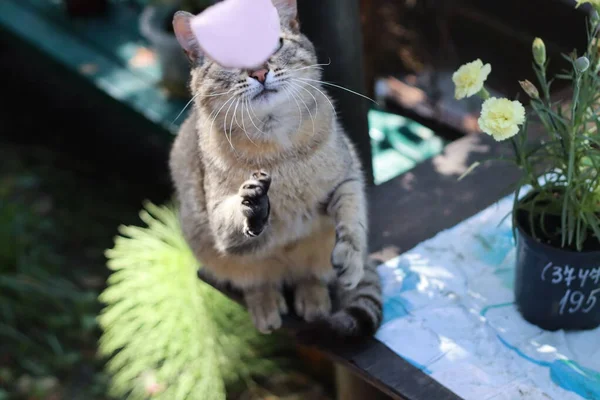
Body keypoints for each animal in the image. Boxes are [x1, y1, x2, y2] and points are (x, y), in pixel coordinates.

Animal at [169, 0, 382, 338]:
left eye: (274, 43)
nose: (259, 71)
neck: (277, 150)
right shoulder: (219, 222)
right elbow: (237, 214)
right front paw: (254, 203)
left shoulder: (348, 178)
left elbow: (352, 219)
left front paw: (351, 259)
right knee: (257, 282)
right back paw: (267, 306)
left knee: (310, 275)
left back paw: (314, 300)